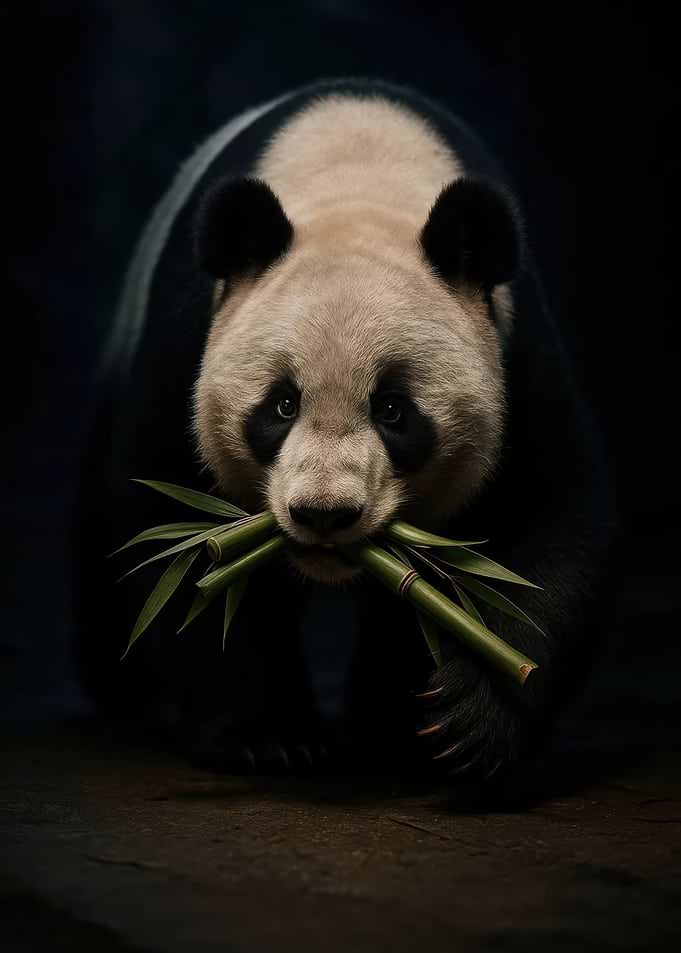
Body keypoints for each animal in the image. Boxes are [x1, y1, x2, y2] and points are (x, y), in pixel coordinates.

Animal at [75, 78, 614, 786]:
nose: (324, 515)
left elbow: (552, 524)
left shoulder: (516, 351)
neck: (359, 175)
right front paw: (264, 738)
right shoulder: (188, 338)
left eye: (393, 410)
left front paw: (471, 718)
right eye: (281, 406)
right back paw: (125, 699)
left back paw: (391, 729)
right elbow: (174, 532)